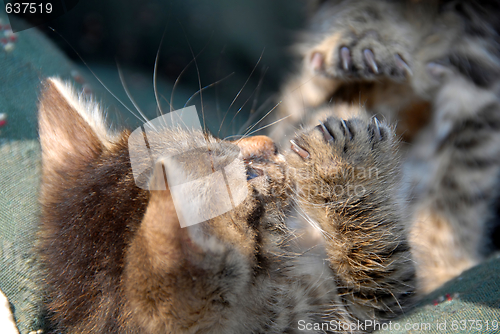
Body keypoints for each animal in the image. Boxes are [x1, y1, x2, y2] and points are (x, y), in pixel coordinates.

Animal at [37, 77, 416, 332]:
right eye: (247, 176)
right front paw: (343, 164)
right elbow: (381, 269)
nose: (270, 143)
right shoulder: (339, 316)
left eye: (210, 137)